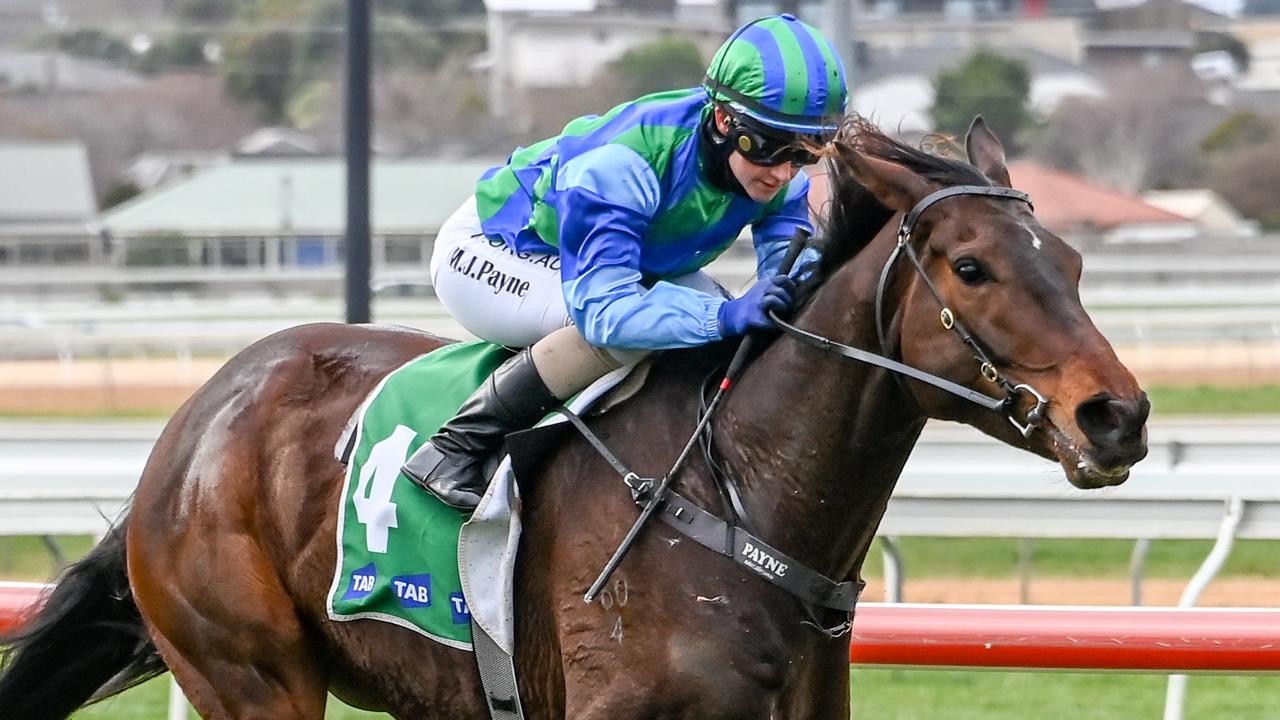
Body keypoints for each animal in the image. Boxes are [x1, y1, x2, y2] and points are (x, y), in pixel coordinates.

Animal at [0, 117, 1152, 717]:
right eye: (971, 267)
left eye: (1071, 262)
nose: (1118, 416)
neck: (738, 493)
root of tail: (196, 419)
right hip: (252, 675)